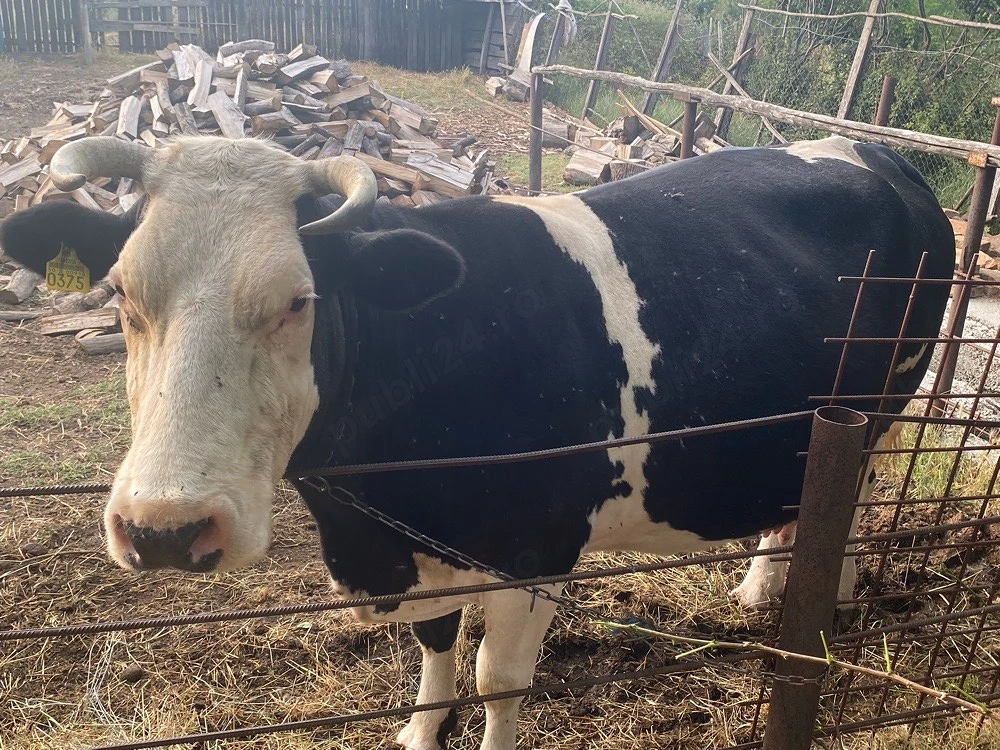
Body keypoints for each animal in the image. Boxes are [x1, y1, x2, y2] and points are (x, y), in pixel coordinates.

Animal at [0, 134, 953, 750]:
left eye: (298, 301)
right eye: (122, 293)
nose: (163, 527)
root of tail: (880, 154)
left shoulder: (540, 548)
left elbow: (501, 679)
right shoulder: (422, 551)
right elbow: (434, 643)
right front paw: (420, 731)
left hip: (884, 401)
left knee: (855, 487)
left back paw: (832, 594)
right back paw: (759, 587)